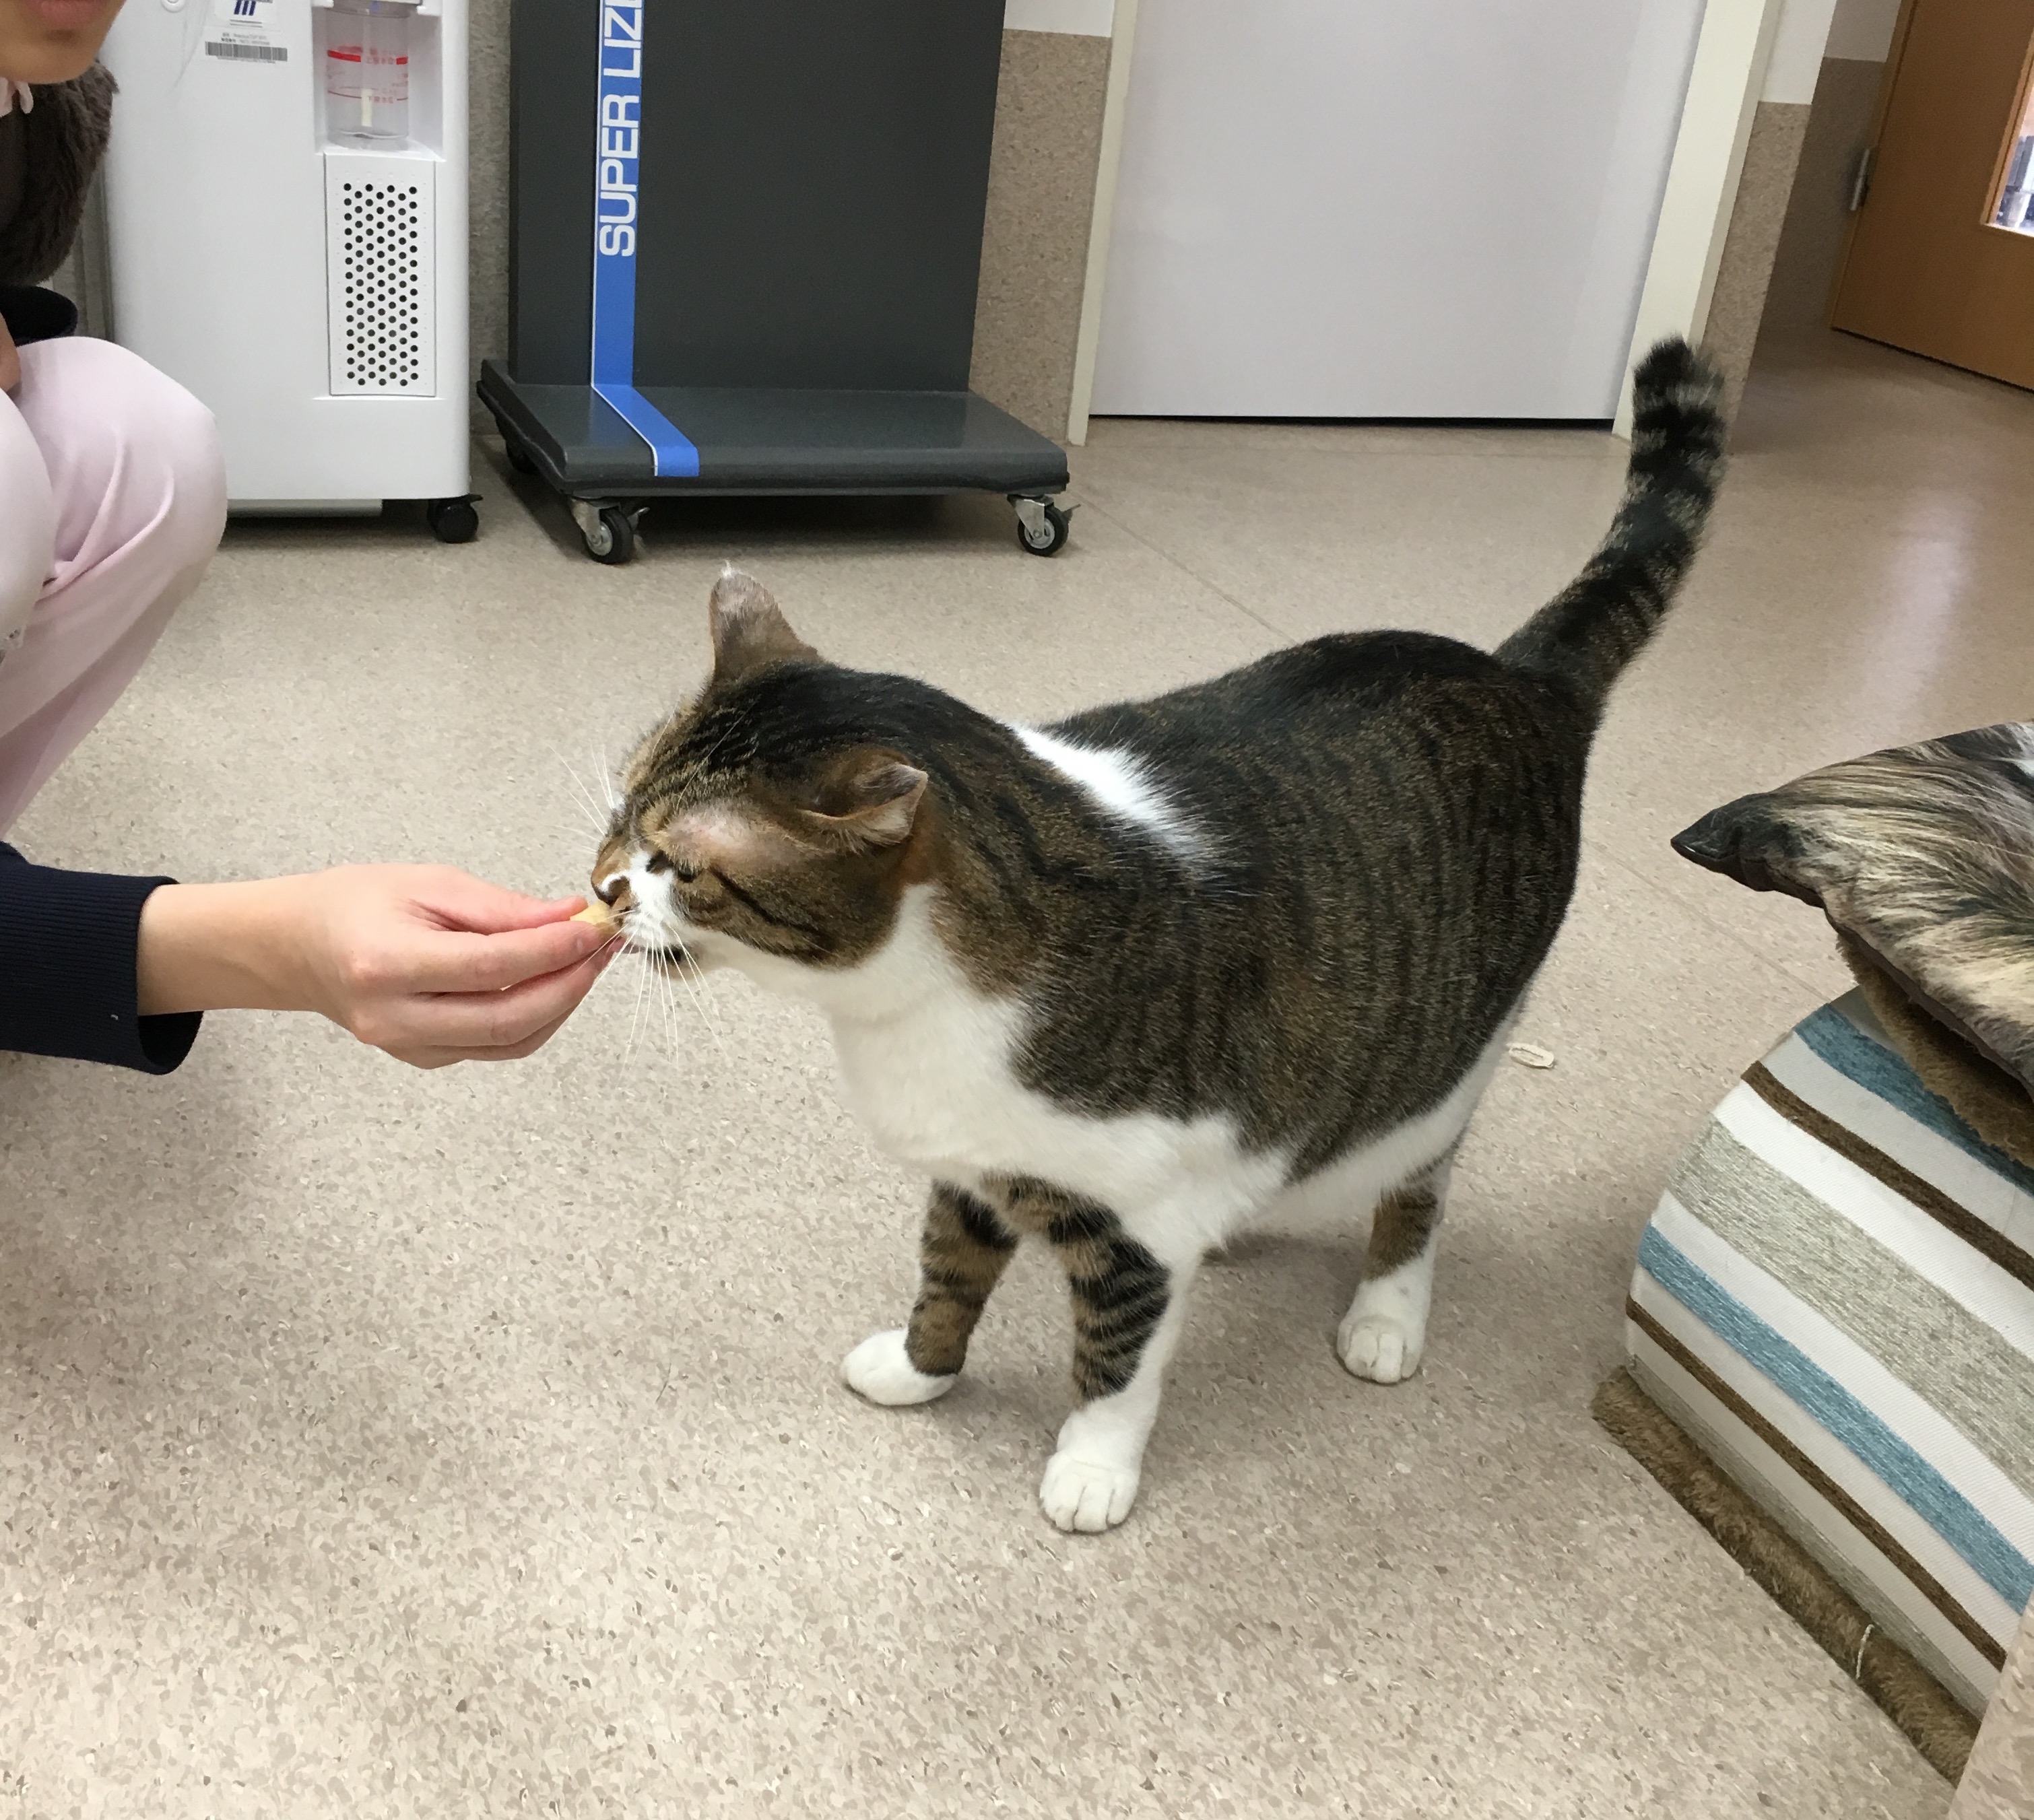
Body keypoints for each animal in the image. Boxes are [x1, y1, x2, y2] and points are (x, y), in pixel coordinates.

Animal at [593, 341, 1733, 1537]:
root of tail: (1526, 676)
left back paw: (1388, 1310)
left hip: (1447, 1061)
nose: (601, 883)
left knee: (1418, 1186)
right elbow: (948, 1274)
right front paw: (920, 1367)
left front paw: (1093, 1469)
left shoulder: (1132, 1221)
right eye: (624, 806)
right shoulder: (975, 1165)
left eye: (681, 866)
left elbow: (1116, 1357)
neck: (903, 1010)